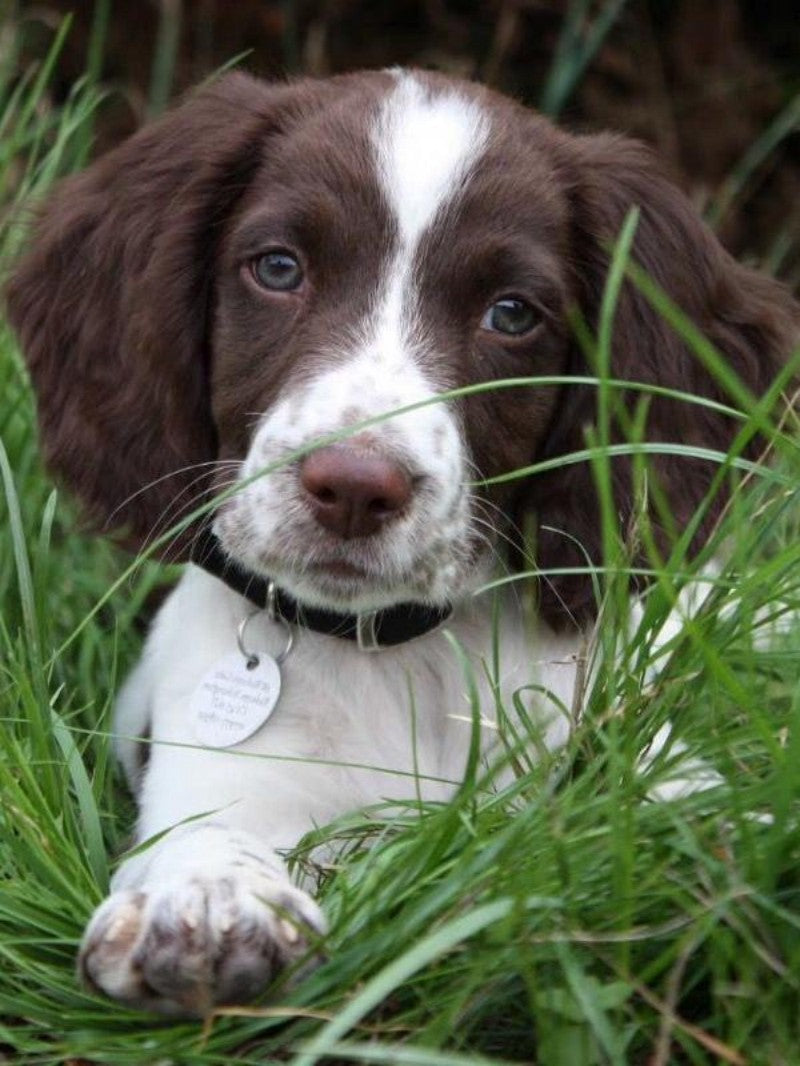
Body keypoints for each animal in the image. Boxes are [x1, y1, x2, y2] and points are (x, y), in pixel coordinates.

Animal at [7, 68, 800, 1014]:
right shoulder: (216, 769)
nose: (354, 486)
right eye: (278, 268)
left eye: (512, 314)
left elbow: (680, 804)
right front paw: (202, 899)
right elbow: (204, 833)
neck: (396, 654)